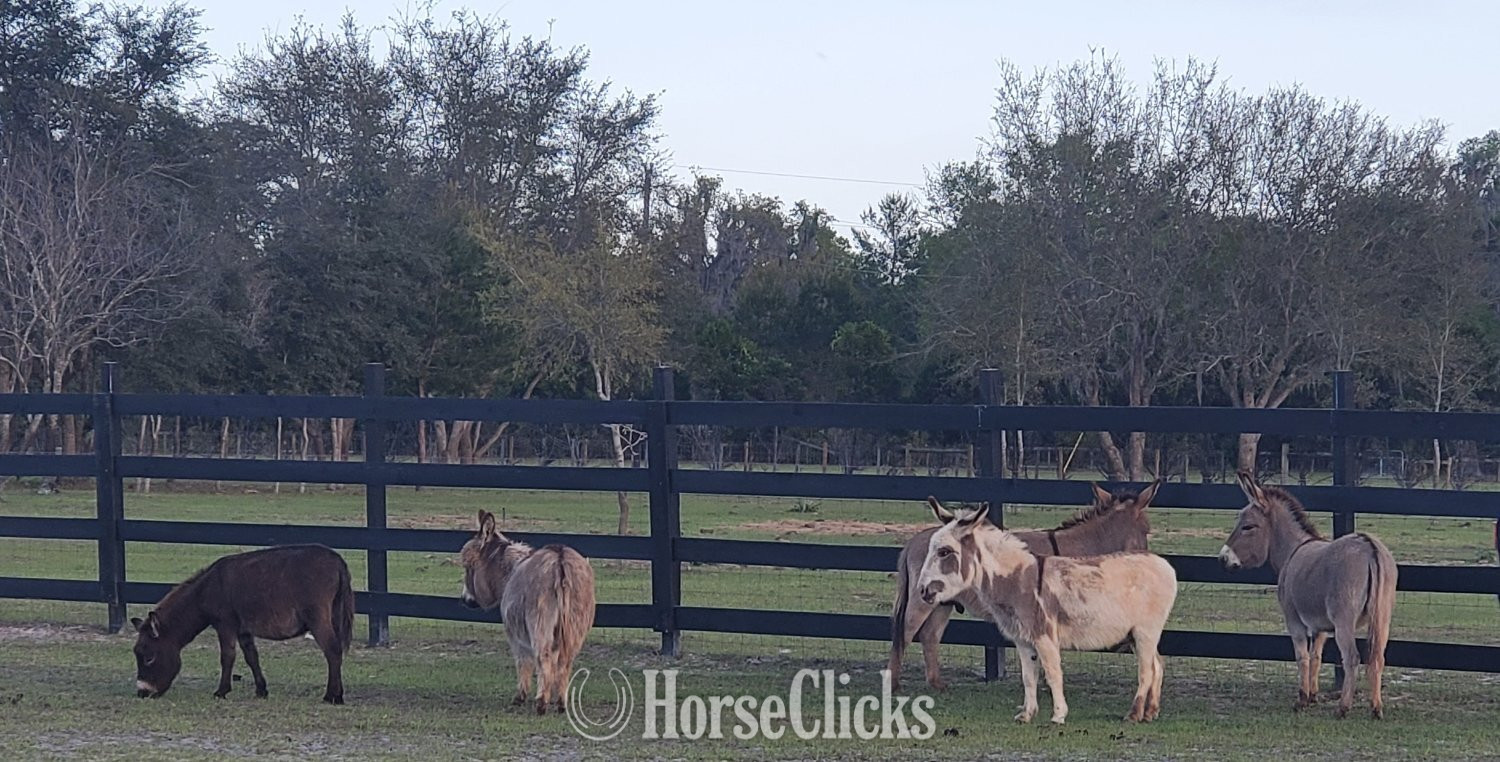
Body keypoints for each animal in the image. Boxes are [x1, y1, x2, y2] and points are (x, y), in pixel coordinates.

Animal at [130, 544, 354, 704]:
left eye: (149, 658)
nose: (142, 693)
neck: (205, 591)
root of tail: (338, 561)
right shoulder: (243, 630)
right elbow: (251, 657)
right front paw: (261, 691)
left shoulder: (225, 624)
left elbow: (227, 657)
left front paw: (221, 692)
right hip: (333, 613)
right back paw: (336, 694)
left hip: (317, 617)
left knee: (332, 650)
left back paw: (332, 696)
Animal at [460, 510, 597, 715]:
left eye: (469, 566)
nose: (465, 599)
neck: (511, 571)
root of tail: (560, 559)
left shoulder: (514, 634)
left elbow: (523, 662)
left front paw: (521, 696)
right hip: (575, 626)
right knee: (565, 661)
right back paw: (561, 703)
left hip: (539, 622)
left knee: (543, 656)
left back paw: (541, 704)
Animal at [889, 480, 1159, 691]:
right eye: (1147, 529)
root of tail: (912, 541)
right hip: (921, 601)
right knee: (905, 633)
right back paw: (894, 685)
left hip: (942, 602)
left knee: (930, 635)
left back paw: (937, 684)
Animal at [915, 500, 1177, 725]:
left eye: (944, 552)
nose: (922, 591)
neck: (1017, 580)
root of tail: (1163, 564)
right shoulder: (1023, 640)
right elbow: (1028, 677)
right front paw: (1027, 714)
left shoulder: (1045, 636)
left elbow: (1053, 673)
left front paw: (1059, 715)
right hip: (1138, 634)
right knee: (1157, 665)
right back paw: (1150, 712)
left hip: (1145, 631)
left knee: (1146, 670)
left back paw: (1134, 714)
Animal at [1218, 471, 1397, 719]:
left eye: (1247, 527)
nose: (1222, 558)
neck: (1293, 549)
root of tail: (1369, 546)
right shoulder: (1321, 625)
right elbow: (1316, 656)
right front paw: (1313, 696)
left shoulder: (1294, 619)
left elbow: (1302, 655)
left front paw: (1302, 700)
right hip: (1382, 616)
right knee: (1378, 657)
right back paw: (1376, 708)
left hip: (1344, 619)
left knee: (1352, 658)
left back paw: (1343, 708)